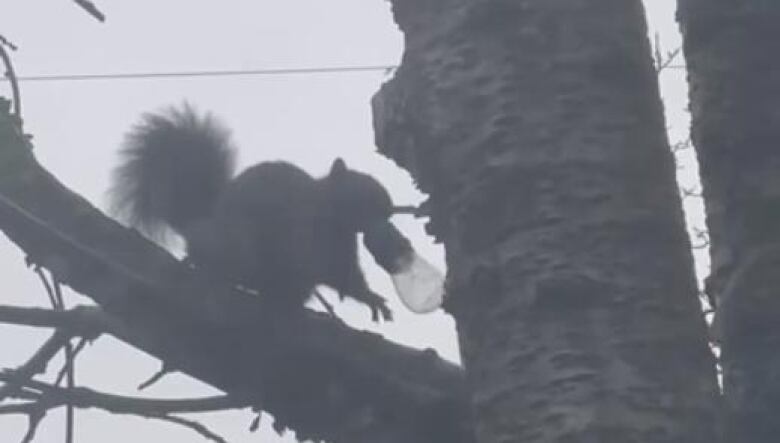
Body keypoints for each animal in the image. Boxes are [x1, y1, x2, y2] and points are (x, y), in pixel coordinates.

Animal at [106, 106, 394, 324]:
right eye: (358, 185)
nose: (390, 207)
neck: (332, 217)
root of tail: (200, 225)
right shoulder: (302, 229)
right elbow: (315, 263)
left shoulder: (343, 251)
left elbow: (347, 274)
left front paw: (370, 297)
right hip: (236, 243)